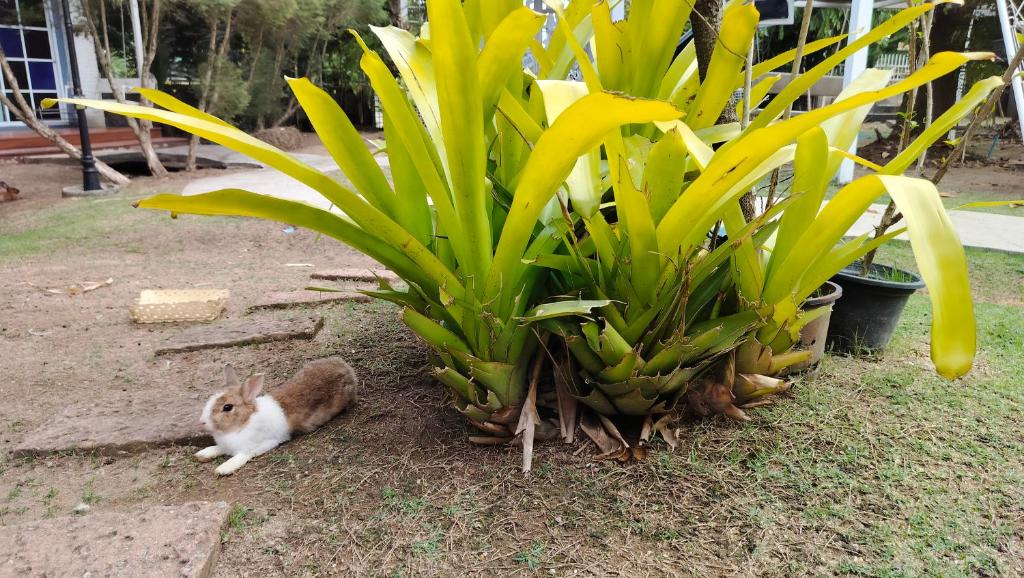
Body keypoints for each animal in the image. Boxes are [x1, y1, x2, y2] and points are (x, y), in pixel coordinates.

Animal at [196, 357, 358, 475]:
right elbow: (218, 448)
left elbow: (244, 455)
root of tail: (345, 367)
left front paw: (223, 468)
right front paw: (202, 454)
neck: (243, 423)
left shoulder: (265, 443)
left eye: (227, 407)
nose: (201, 422)